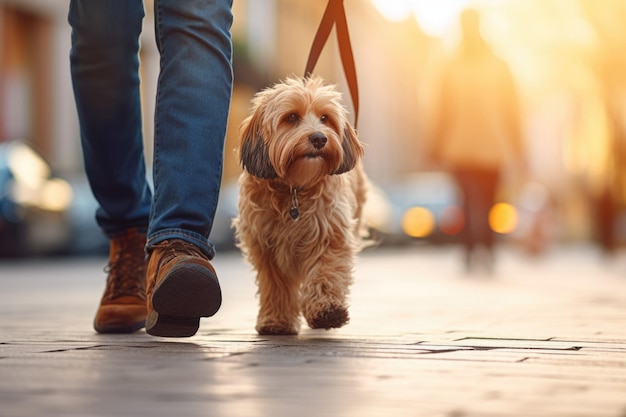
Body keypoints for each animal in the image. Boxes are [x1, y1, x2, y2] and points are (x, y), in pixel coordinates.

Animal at [234, 75, 370, 334]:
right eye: (292, 117)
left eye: (325, 118)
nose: (319, 138)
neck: (294, 189)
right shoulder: (266, 248)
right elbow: (275, 286)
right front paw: (276, 320)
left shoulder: (330, 235)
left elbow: (325, 271)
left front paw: (327, 311)